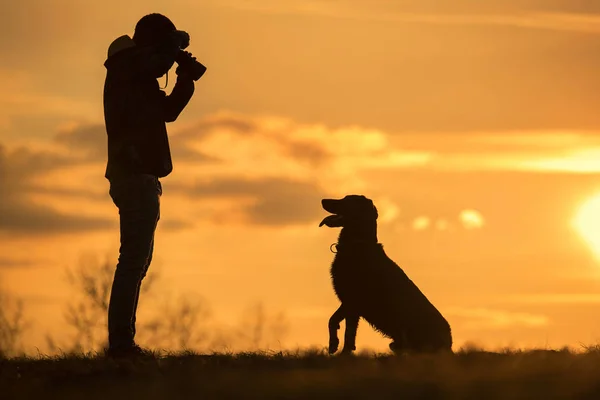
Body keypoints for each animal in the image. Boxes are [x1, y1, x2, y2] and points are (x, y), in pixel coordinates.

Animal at [318, 195, 450, 354]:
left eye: (346, 200)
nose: (322, 201)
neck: (358, 242)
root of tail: (450, 346)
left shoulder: (353, 300)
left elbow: (335, 322)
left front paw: (334, 345)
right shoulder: (351, 305)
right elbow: (346, 332)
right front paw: (343, 352)